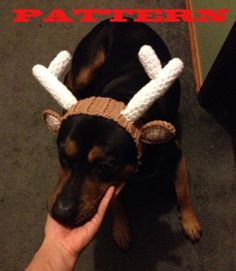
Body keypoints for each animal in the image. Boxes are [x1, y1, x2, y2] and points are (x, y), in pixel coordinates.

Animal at [32, 18, 201, 252]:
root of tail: (124, 18)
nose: (60, 214)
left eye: (104, 167)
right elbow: (115, 202)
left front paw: (190, 222)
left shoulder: (175, 156)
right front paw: (120, 229)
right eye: (63, 156)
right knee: (70, 78)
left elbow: (183, 191)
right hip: (85, 70)